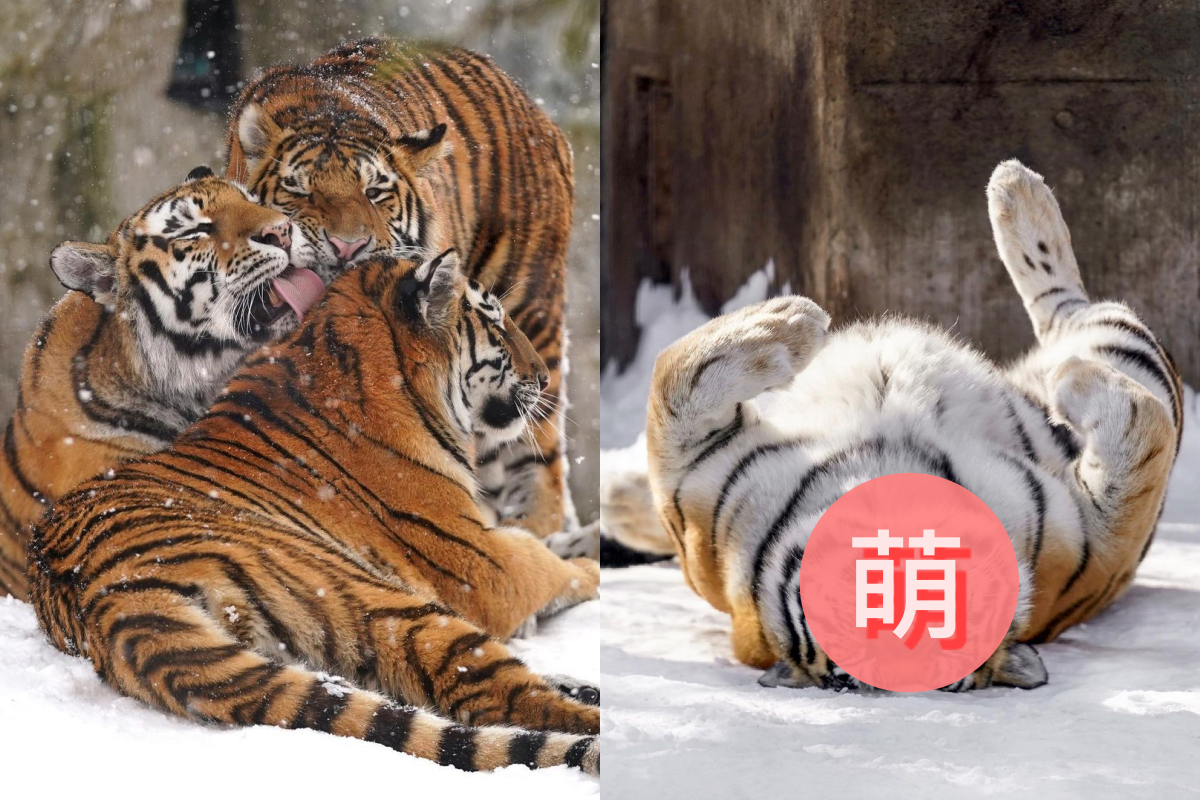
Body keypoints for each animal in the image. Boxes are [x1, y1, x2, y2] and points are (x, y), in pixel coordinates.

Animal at [26, 248, 601, 774]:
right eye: (495, 321)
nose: (544, 377)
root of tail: (104, 598)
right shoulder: (483, 565)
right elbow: (549, 566)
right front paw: (588, 565)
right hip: (380, 601)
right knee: (505, 698)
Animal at [225, 37, 587, 556]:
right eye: (301, 190)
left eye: (375, 192)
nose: (347, 245)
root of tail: (531, 105)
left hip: (533, 308)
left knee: (535, 448)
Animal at [636, 160, 1181, 691]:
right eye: (847, 681)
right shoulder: (689, 497)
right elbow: (673, 375)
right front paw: (791, 321)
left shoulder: (1093, 548)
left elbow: (1145, 440)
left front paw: (790, 320)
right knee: (1071, 313)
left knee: (1070, 309)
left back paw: (1014, 188)